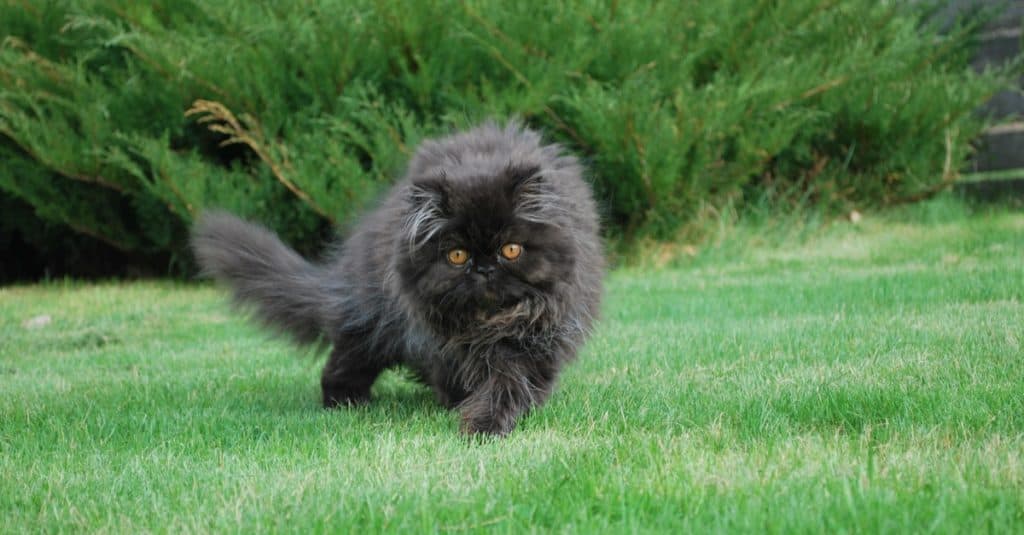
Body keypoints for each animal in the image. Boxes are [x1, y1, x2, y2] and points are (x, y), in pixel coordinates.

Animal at [192, 122, 598, 434]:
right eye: (457, 256)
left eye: (511, 250)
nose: (484, 269)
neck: (487, 324)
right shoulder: (441, 344)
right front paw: (467, 412)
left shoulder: (539, 341)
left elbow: (510, 386)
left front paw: (485, 424)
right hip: (375, 322)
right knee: (345, 360)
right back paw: (344, 402)